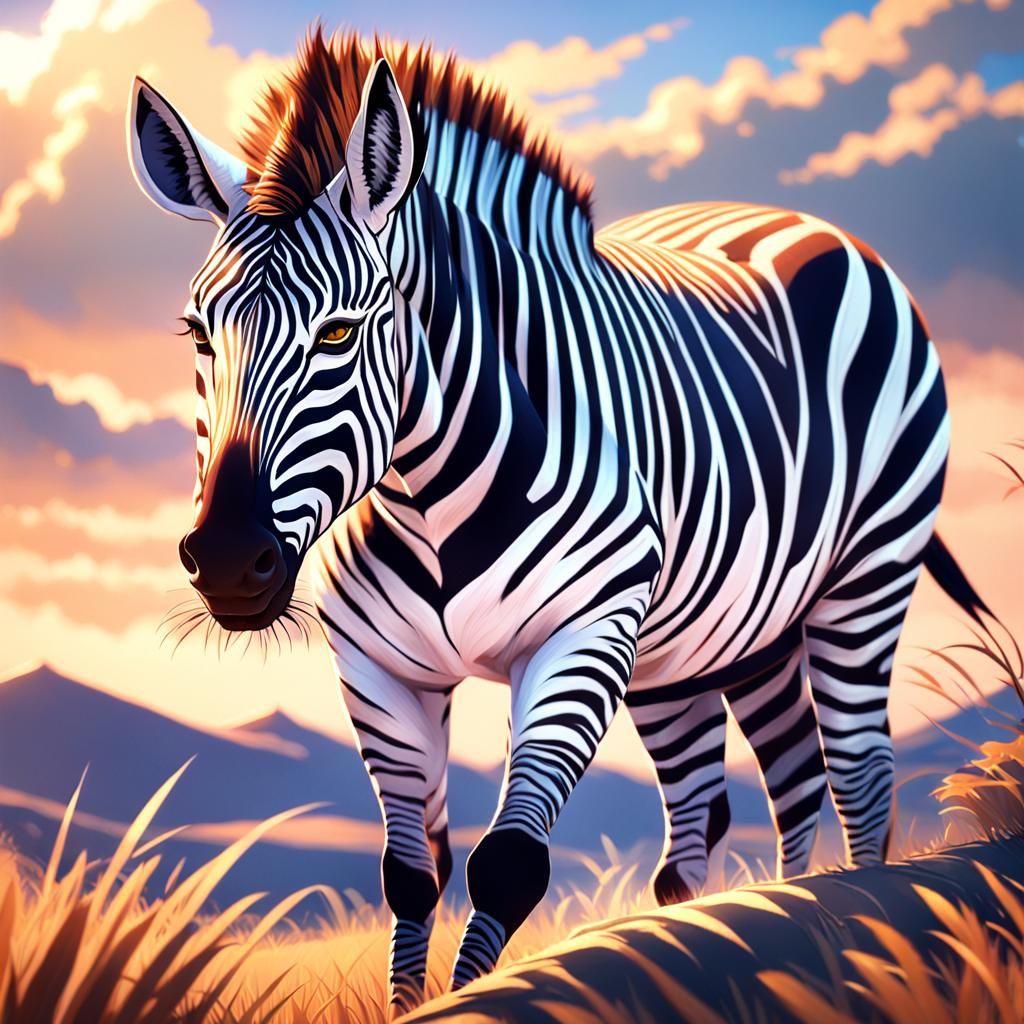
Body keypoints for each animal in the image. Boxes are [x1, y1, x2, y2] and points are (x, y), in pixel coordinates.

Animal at [127, 30, 993, 1014]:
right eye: (198, 335)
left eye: (341, 333)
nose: (230, 561)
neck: (425, 491)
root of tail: (809, 224)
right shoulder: (382, 672)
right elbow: (410, 876)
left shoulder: (575, 639)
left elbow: (508, 866)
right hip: (718, 634)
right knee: (757, 791)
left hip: (865, 577)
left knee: (859, 776)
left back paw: (851, 945)